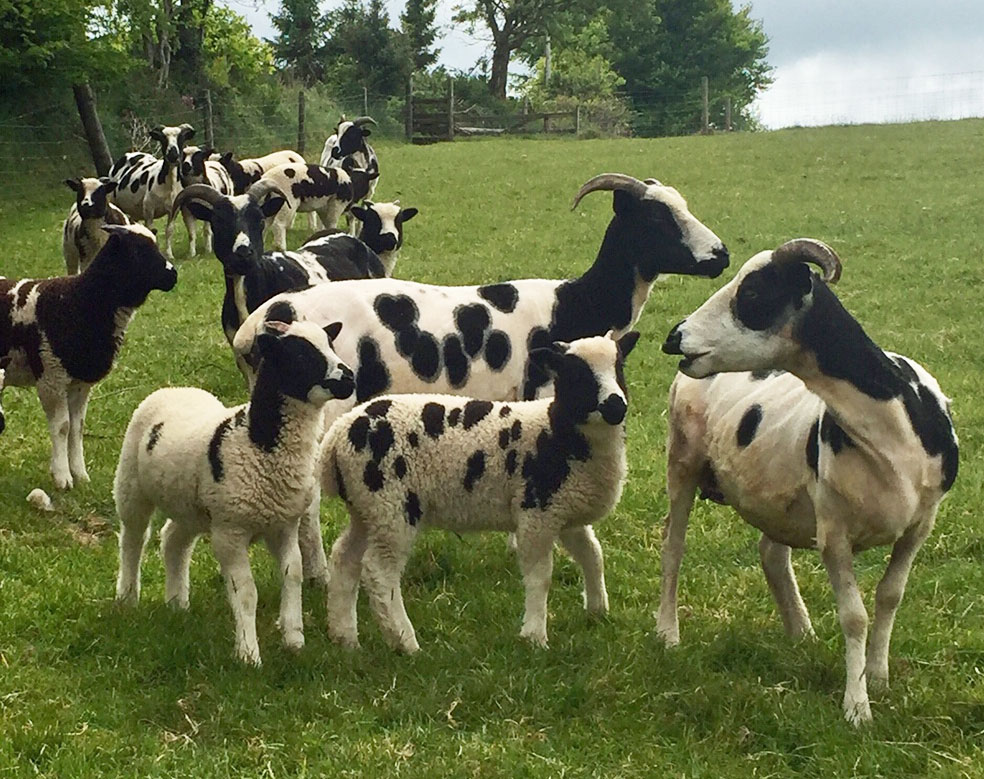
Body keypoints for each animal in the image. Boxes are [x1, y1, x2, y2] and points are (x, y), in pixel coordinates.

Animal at [0, 222, 177, 490]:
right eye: (139, 251)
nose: (173, 275)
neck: (81, 300)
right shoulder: (51, 377)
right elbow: (62, 427)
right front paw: (62, 476)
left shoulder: (80, 382)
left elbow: (77, 427)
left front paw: (80, 474)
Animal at [107, 124, 196, 258]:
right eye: (163, 139)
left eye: (181, 137)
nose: (173, 155)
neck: (169, 184)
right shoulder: (148, 208)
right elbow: (150, 230)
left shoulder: (173, 209)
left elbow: (169, 230)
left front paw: (169, 254)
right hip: (114, 201)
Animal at [114, 316, 356, 664]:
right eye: (300, 355)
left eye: (330, 344)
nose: (348, 377)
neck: (259, 440)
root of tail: (175, 389)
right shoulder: (230, 532)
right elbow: (245, 591)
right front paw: (248, 654)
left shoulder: (283, 524)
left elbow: (292, 574)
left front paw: (294, 639)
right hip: (131, 485)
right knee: (133, 538)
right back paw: (128, 597)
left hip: (193, 508)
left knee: (173, 539)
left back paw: (177, 603)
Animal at [320, 330, 640, 652]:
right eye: (577, 374)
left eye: (619, 367)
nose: (615, 405)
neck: (558, 432)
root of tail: (337, 435)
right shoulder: (536, 511)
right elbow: (541, 577)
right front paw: (535, 636)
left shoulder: (565, 511)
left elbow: (593, 556)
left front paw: (598, 611)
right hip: (391, 504)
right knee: (379, 572)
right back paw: (405, 642)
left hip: (367, 508)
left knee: (345, 558)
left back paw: (345, 637)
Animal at [656, 238, 956, 724]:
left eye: (753, 292)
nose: (674, 337)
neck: (892, 425)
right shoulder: (834, 530)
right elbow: (854, 616)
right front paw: (857, 707)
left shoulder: (920, 525)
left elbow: (890, 596)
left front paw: (878, 677)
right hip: (682, 459)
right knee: (673, 547)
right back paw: (668, 632)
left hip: (778, 495)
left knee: (772, 554)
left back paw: (801, 633)